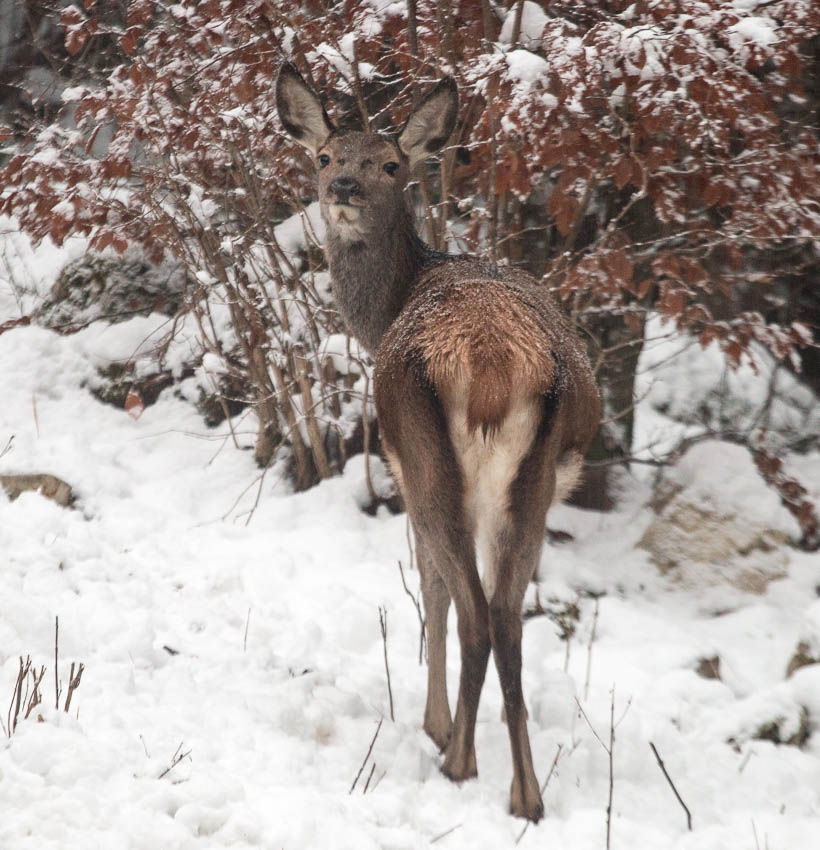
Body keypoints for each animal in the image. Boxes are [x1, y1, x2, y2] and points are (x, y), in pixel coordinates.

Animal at [278, 63, 604, 820]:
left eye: (391, 164)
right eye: (324, 156)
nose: (344, 188)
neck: (388, 308)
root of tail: (491, 366)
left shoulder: (401, 466)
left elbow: (429, 592)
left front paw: (434, 724)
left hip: (429, 460)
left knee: (474, 613)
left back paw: (458, 760)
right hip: (534, 483)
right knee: (510, 620)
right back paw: (526, 796)